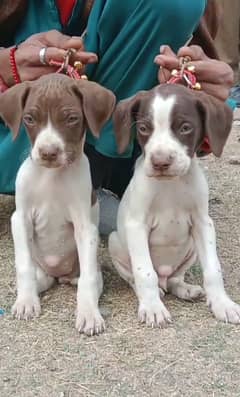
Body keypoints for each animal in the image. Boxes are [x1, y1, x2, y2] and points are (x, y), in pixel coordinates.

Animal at [0, 73, 115, 334]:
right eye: (29, 119)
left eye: (72, 119)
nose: (48, 153)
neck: (52, 176)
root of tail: (59, 274)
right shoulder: (20, 219)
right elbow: (23, 266)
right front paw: (26, 302)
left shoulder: (84, 226)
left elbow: (87, 282)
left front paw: (89, 314)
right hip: (41, 270)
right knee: (37, 277)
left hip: (89, 270)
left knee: (86, 279)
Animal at [109, 83, 240, 324]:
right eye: (143, 128)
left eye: (185, 127)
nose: (160, 162)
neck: (171, 185)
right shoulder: (136, 225)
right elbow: (144, 272)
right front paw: (152, 307)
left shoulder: (203, 223)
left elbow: (213, 269)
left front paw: (222, 304)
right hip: (116, 242)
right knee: (139, 278)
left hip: (191, 250)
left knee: (174, 279)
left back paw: (185, 289)